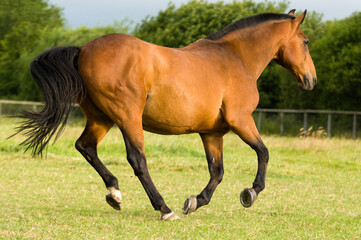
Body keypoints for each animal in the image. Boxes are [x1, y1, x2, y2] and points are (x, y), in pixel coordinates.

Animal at [14, 8, 314, 219]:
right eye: (306, 42)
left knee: (85, 146)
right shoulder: (240, 120)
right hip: (127, 117)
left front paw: (194, 202)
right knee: (137, 160)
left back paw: (115, 193)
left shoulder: (212, 132)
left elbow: (217, 171)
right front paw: (250, 193)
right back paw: (163, 208)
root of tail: (83, 50)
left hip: (102, 118)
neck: (235, 58)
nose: (311, 80)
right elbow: (263, 153)